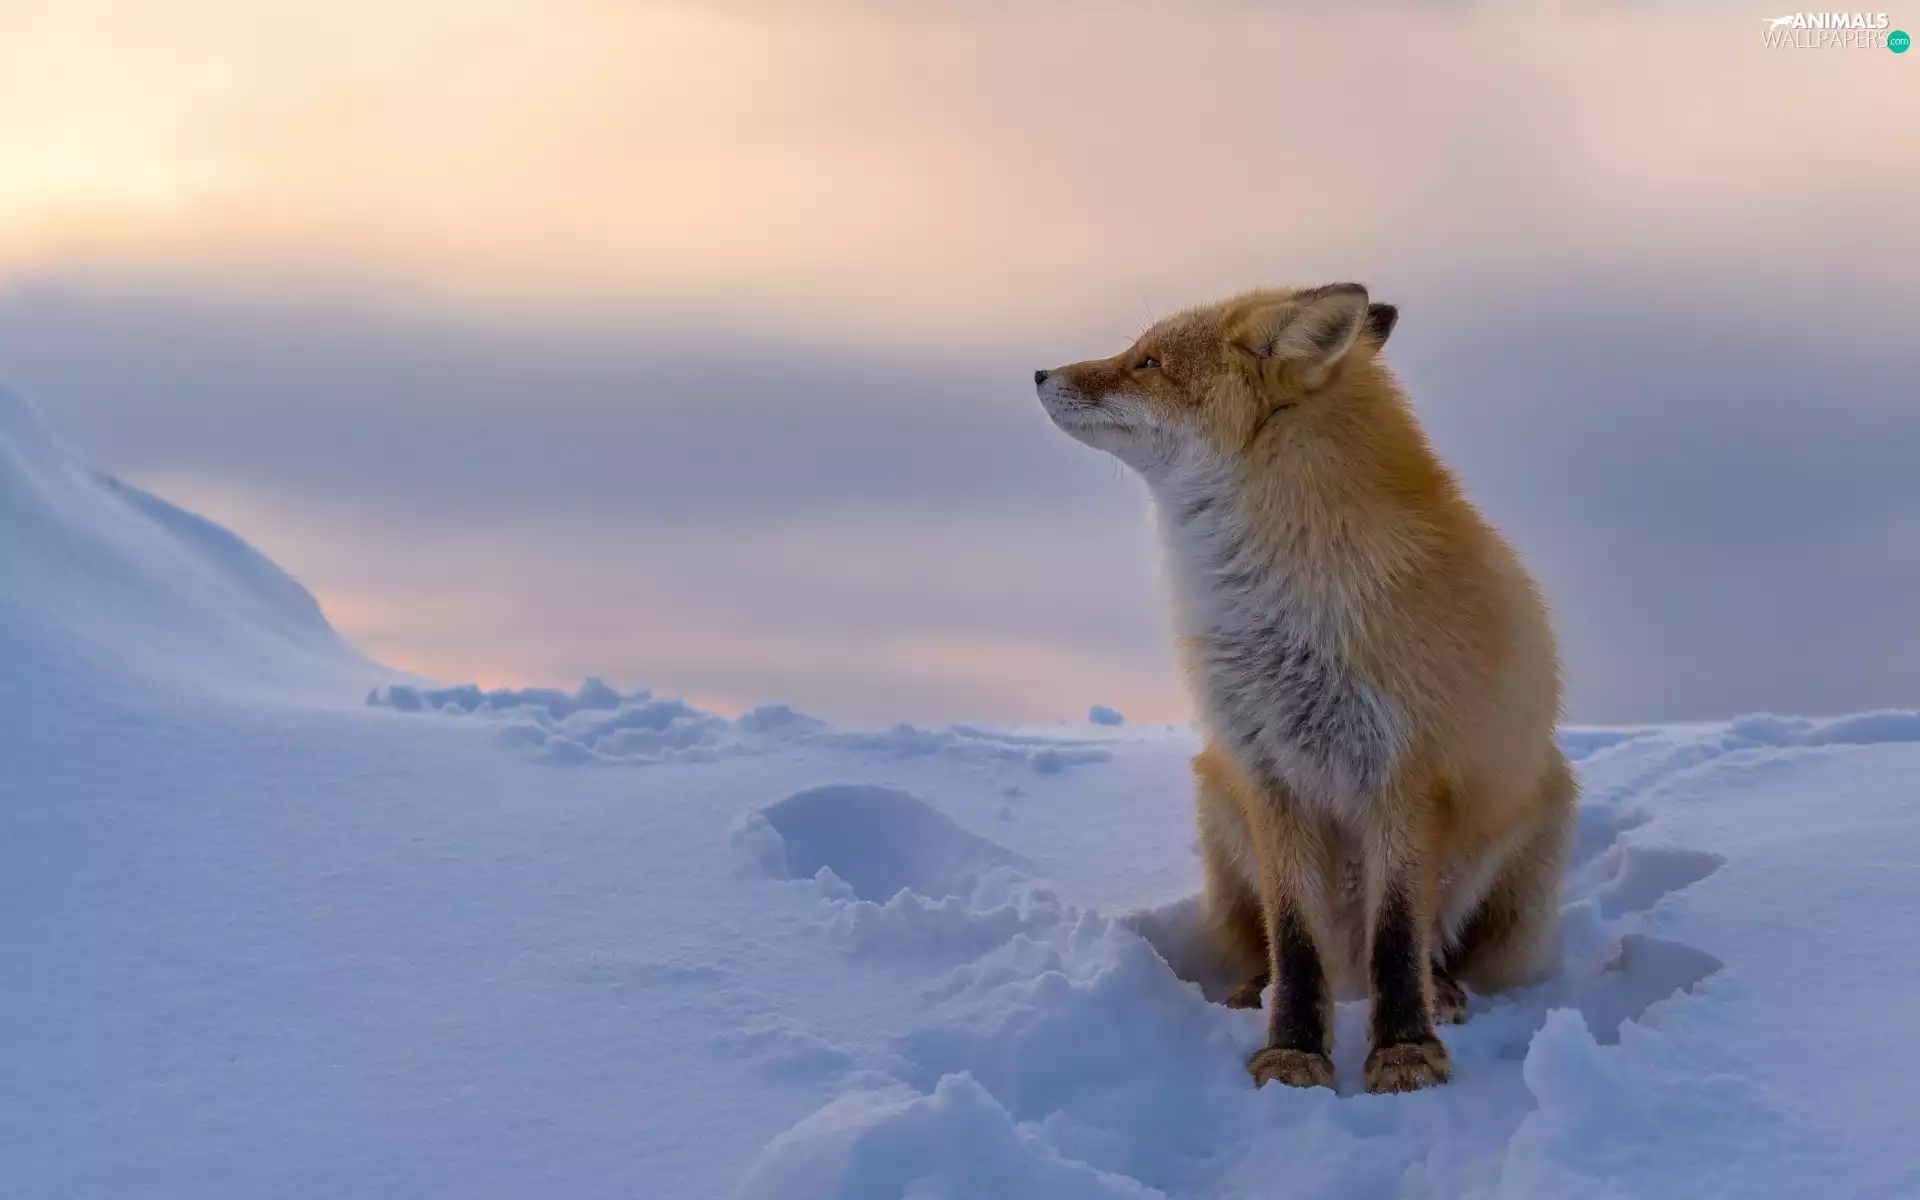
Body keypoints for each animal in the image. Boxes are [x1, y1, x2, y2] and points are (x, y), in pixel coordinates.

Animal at [1035, 284, 1575, 1094]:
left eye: (1148, 362)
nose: (1038, 372)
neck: (1283, 612)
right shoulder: (1267, 769)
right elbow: (1293, 939)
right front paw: (1292, 1051)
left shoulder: (1404, 774)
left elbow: (1397, 939)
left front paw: (1404, 1051)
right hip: (1217, 801)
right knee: (1276, 945)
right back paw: (1253, 991)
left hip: (1537, 822)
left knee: (1428, 945)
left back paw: (1442, 992)